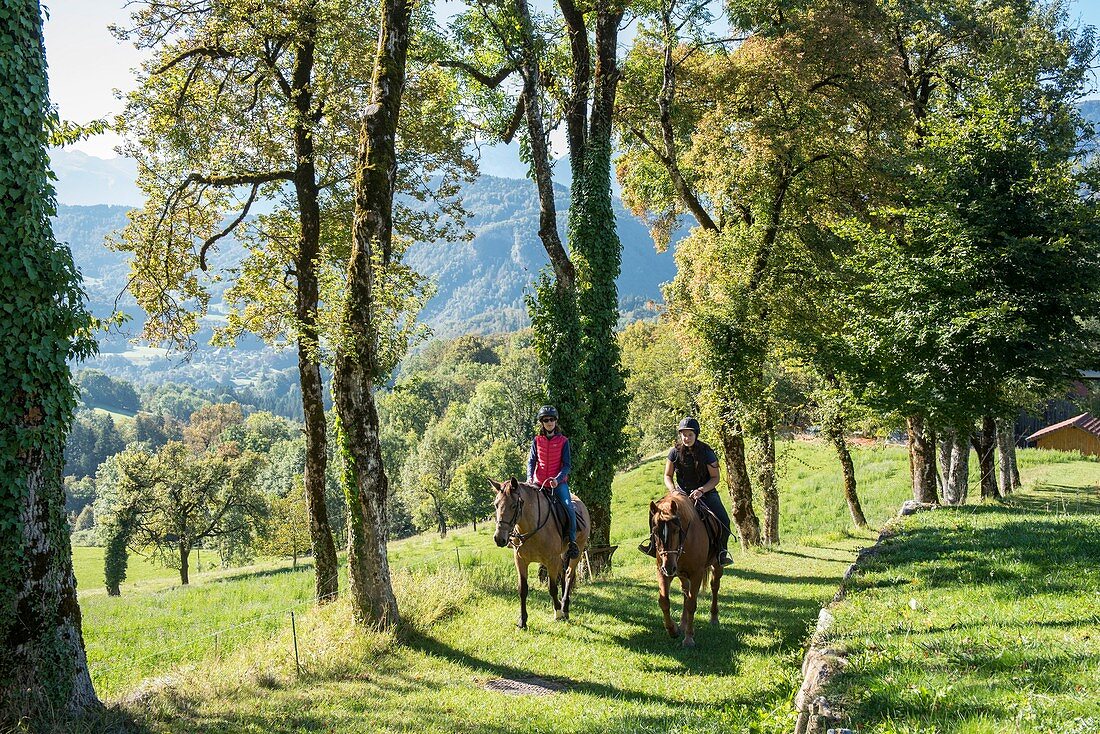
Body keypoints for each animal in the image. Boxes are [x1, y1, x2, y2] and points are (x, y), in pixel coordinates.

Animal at [490, 479, 589, 629]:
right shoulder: (520, 560)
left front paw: (557, 613)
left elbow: (552, 588)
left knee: (568, 575)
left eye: (513, 505)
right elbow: (523, 589)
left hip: (577, 550)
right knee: (563, 574)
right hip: (561, 554)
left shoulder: (551, 560)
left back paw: (565, 608)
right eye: (496, 505)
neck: (532, 527)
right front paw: (522, 621)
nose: (499, 538)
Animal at [651, 490, 721, 647]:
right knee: (685, 590)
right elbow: (664, 601)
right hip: (681, 574)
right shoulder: (662, 572)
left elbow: (691, 604)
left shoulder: (697, 574)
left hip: (717, 565)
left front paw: (689, 638)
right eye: (655, 532)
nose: (669, 567)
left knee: (714, 586)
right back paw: (682, 624)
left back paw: (714, 618)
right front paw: (673, 630)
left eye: (677, 530)